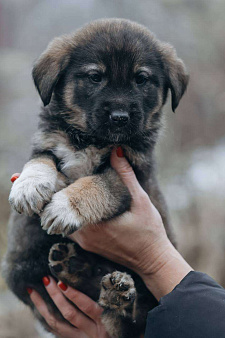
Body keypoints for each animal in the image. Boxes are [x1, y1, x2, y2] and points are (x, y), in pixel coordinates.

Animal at [2, 19, 189, 338]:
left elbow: (96, 184)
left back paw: (115, 294)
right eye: (95, 77)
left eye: (141, 79)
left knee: (128, 321)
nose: (120, 117)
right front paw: (29, 187)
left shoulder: (130, 176)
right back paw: (73, 267)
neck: (91, 139)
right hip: (29, 272)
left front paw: (64, 206)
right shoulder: (48, 143)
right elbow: (40, 161)